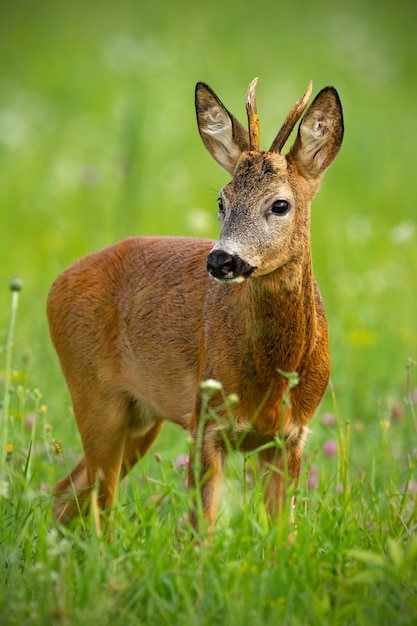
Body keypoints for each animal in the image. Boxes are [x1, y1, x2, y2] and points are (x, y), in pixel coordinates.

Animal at [49, 75, 342, 532]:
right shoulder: (205, 421)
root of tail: (55, 285)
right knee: (96, 501)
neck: (272, 378)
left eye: (280, 204)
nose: (221, 260)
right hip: (94, 393)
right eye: (221, 200)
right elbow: (201, 527)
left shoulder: (292, 435)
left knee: (67, 493)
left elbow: (283, 533)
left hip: (140, 417)